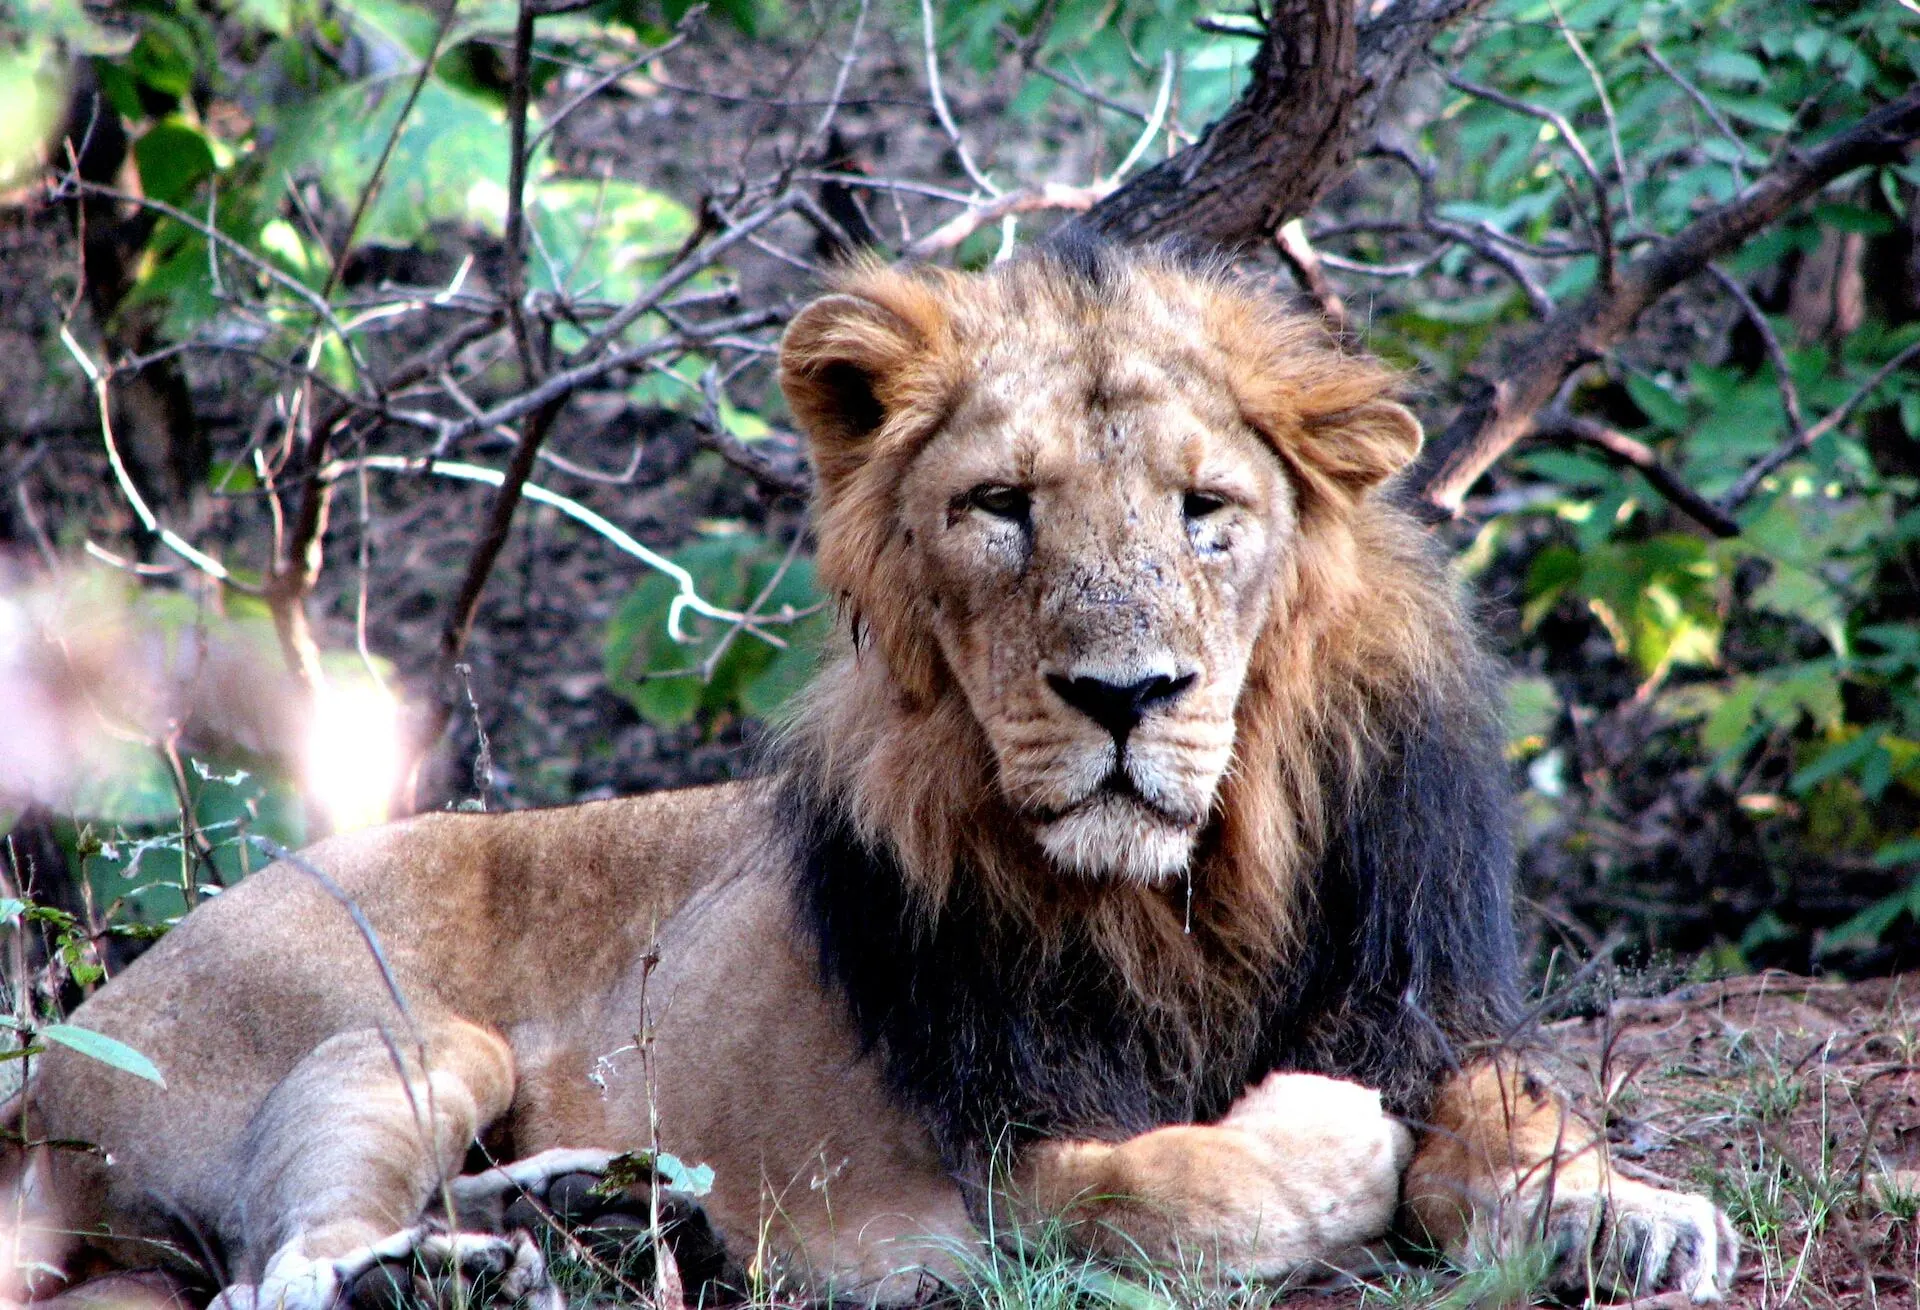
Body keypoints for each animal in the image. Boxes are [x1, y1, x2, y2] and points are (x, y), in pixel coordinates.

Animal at [3, 240, 1743, 1298]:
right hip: (396, 1035)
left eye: (1206, 509)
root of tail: (50, 1062)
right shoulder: (983, 1174)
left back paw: (579, 1206)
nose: (1127, 694)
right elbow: (1188, 1192)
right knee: (275, 1273)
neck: (1192, 887)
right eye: (1001, 508)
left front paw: (1626, 1210)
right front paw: (1338, 1142)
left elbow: (1515, 1110)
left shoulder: (1426, 991)